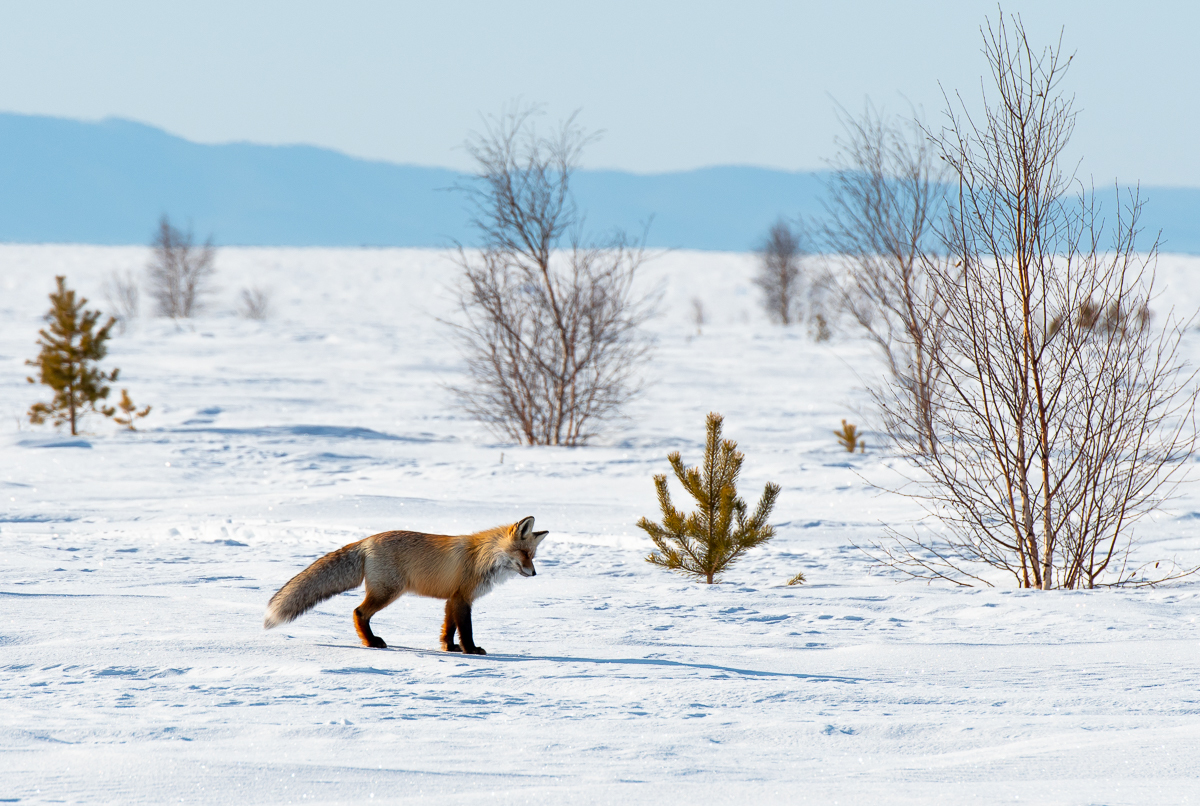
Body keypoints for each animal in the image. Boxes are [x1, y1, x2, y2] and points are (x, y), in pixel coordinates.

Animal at [266, 515, 549, 652]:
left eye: (533, 556)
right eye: (524, 554)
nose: (535, 573)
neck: (482, 556)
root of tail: (366, 540)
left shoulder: (452, 598)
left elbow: (448, 628)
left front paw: (449, 648)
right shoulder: (463, 598)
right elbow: (466, 630)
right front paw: (470, 651)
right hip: (388, 592)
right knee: (358, 612)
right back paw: (371, 642)